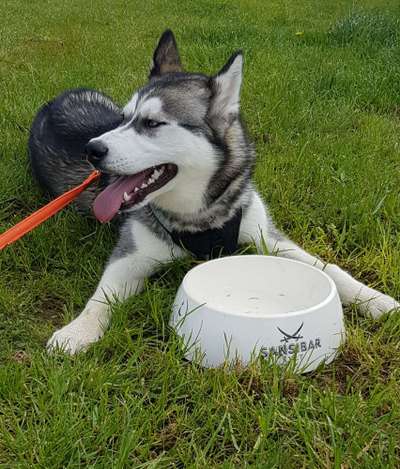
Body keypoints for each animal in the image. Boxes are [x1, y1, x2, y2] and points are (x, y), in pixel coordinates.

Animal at [29, 29, 398, 352]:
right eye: (123, 119)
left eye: (152, 123)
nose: (92, 149)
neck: (201, 215)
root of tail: (56, 100)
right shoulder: (130, 256)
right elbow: (101, 296)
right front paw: (77, 331)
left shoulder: (266, 235)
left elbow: (329, 268)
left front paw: (377, 301)